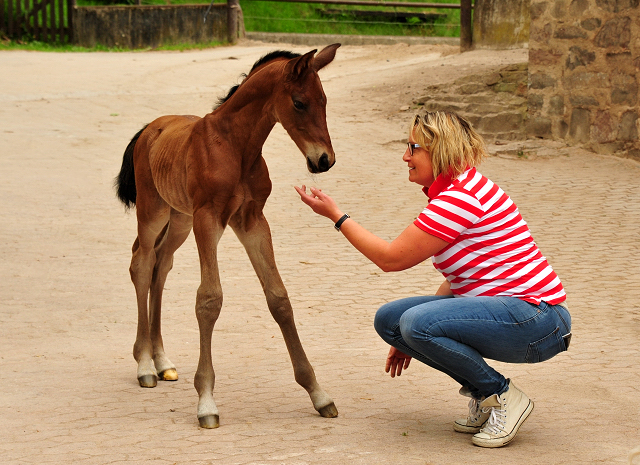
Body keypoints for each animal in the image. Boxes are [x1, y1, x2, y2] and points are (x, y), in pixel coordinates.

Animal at [117, 44, 342, 428]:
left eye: (324, 100)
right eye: (299, 103)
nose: (324, 160)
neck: (236, 146)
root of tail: (150, 128)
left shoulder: (252, 220)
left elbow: (279, 298)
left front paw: (319, 394)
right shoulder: (208, 219)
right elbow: (209, 299)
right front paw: (206, 401)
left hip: (179, 219)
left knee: (162, 267)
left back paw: (163, 362)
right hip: (153, 213)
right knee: (142, 265)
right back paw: (145, 364)